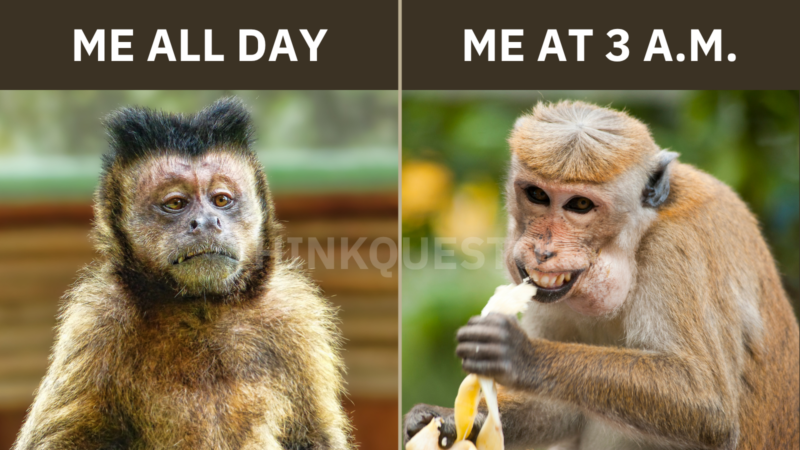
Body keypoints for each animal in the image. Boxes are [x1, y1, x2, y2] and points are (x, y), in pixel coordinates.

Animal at [13, 98, 352, 450]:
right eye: (176, 203)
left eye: (221, 200)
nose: (206, 221)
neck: (202, 310)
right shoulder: (96, 323)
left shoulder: (294, 319)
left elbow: (315, 437)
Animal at [405, 101, 800, 449]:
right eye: (537, 194)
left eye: (580, 205)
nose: (543, 251)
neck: (639, 238)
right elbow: (559, 408)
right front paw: (447, 419)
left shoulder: (676, 251)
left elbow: (708, 402)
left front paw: (521, 354)